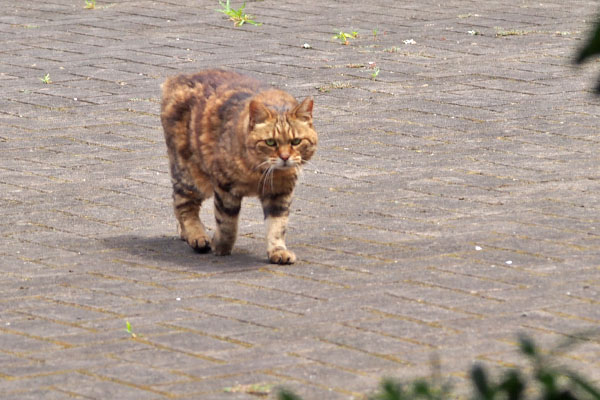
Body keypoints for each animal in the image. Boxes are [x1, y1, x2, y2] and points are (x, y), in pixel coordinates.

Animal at [159, 69, 318, 264]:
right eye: (270, 142)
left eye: (296, 141)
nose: (285, 157)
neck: (260, 173)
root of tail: (178, 78)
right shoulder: (224, 187)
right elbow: (227, 223)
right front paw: (221, 246)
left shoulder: (280, 194)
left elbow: (277, 226)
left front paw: (278, 251)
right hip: (191, 175)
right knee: (183, 204)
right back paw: (197, 236)